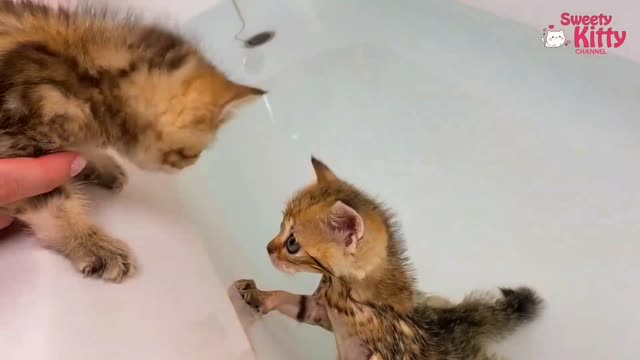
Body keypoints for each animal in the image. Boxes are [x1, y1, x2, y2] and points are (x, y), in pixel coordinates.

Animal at [0, 0, 264, 282]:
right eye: (190, 154)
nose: (191, 165)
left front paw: (97, 165)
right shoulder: (15, 141)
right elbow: (55, 204)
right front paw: (93, 245)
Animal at [232, 158, 544, 360]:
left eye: (293, 243)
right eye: (280, 226)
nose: (268, 248)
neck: (342, 291)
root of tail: (457, 321)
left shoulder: (383, 352)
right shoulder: (321, 311)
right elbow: (290, 299)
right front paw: (261, 296)